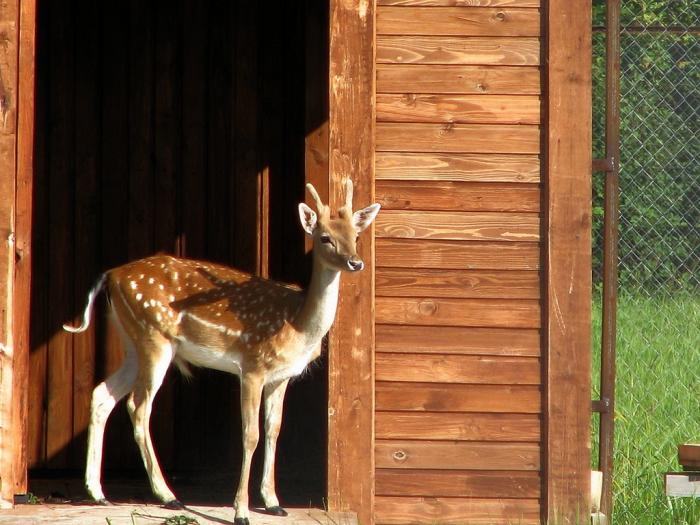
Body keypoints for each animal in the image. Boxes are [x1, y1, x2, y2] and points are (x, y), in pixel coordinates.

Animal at [64, 179, 382, 520]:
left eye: (356, 235)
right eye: (325, 237)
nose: (356, 262)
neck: (297, 325)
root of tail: (110, 275)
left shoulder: (282, 376)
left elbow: (273, 430)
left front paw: (274, 503)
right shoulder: (253, 366)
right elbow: (250, 435)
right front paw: (241, 510)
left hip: (132, 341)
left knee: (102, 394)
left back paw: (98, 494)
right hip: (153, 335)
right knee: (138, 406)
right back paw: (168, 496)